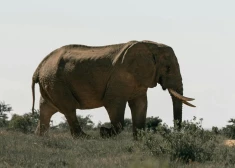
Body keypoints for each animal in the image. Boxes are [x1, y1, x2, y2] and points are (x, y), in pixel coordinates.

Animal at [32, 40, 196, 138]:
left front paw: (139, 140)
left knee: (46, 109)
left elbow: (141, 104)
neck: (150, 46)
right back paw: (84, 138)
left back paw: (40, 138)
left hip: (50, 82)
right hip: (56, 81)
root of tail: (40, 65)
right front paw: (104, 132)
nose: (177, 136)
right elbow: (114, 104)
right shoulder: (120, 77)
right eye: (168, 68)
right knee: (69, 109)